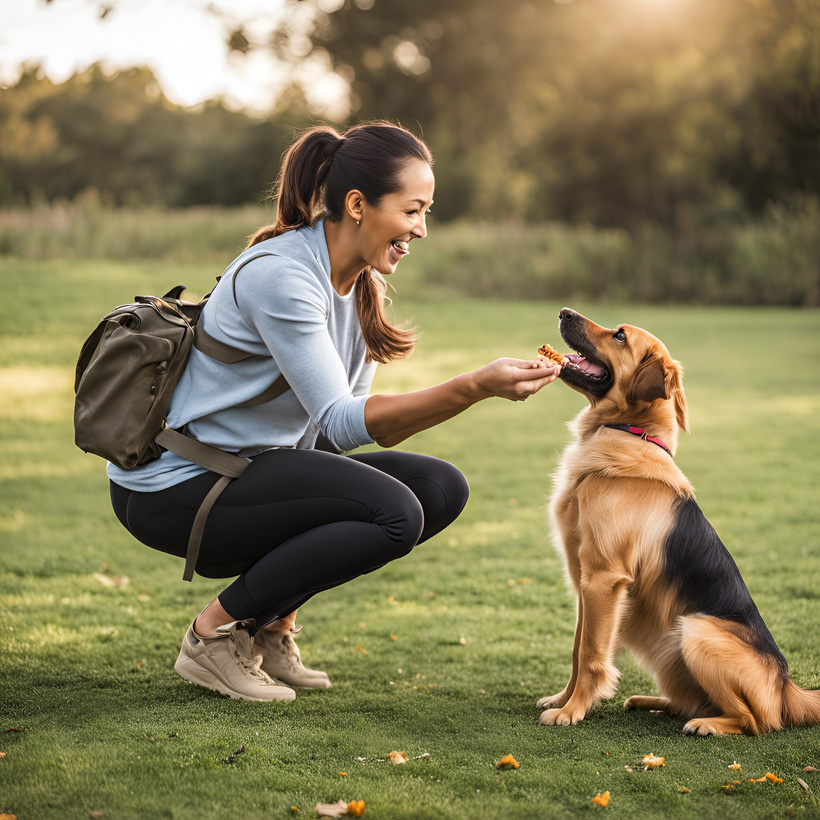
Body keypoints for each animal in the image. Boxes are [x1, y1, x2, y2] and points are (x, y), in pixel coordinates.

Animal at [540, 310, 820, 736]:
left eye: (619, 335)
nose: (563, 312)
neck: (629, 433)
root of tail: (788, 687)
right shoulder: (585, 580)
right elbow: (577, 650)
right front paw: (562, 699)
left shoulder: (603, 578)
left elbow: (590, 655)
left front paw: (572, 711)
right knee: (690, 702)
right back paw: (652, 703)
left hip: (695, 630)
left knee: (755, 720)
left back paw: (706, 724)